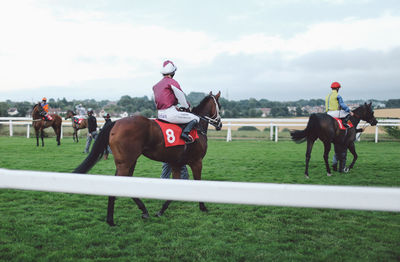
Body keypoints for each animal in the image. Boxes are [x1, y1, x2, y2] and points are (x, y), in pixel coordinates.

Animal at [72, 91, 222, 225]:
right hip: (126, 162)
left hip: (128, 161)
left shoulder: (176, 163)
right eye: (219, 105)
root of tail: (116, 122)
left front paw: (161, 210)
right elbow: (198, 181)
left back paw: (143, 210)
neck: (197, 127)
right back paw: (111, 220)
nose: (220, 124)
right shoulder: (197, 162)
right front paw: (203, 207)